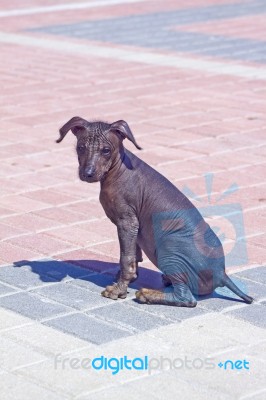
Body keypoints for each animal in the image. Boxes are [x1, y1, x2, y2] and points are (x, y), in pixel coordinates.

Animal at [56, 117, 254, 308]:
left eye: (106, 150)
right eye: (80, 148)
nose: (87, 174)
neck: (116, 169)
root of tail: (222, 274)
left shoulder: (127, 222)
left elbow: (126, 259)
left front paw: (119, 289)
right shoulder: (133, 226)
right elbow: (133, 257)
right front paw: (126, 279)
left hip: (169, 249)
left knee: (188, 299)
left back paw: (148, 295)